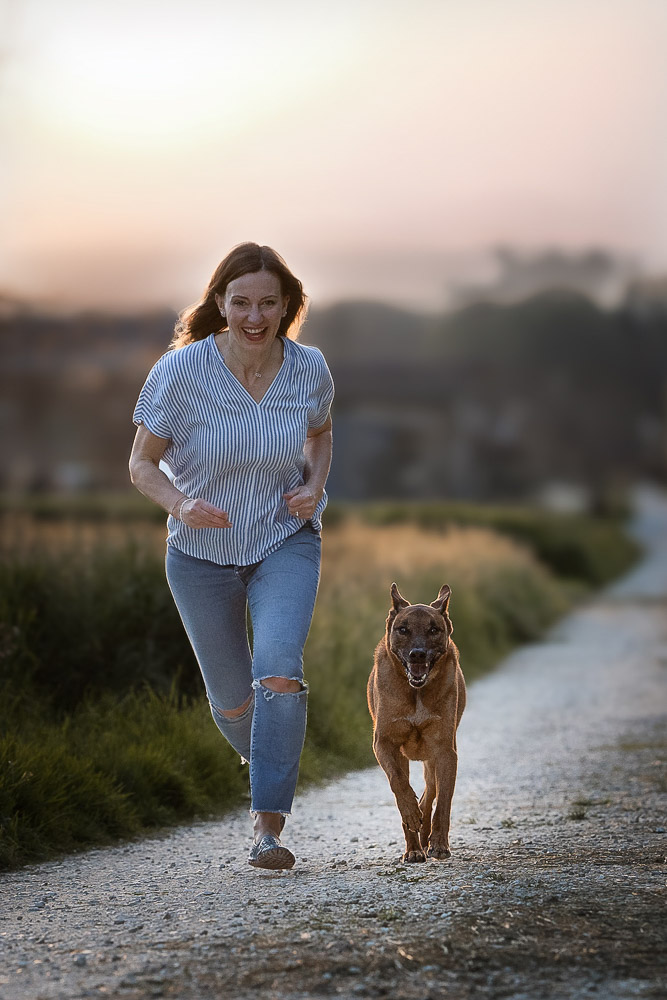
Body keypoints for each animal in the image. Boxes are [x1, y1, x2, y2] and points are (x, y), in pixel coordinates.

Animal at [368, 584, 468, 864]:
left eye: (434, 630)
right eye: (403, 629)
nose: (417, 654)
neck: (416, 692)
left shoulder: (445, 751)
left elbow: (443, 801)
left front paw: (439, 844)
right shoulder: (384, 744)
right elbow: (398, 782)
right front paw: (411, 814)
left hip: (434, 758)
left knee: (430, 792)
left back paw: (424, 836)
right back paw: (413, 846)